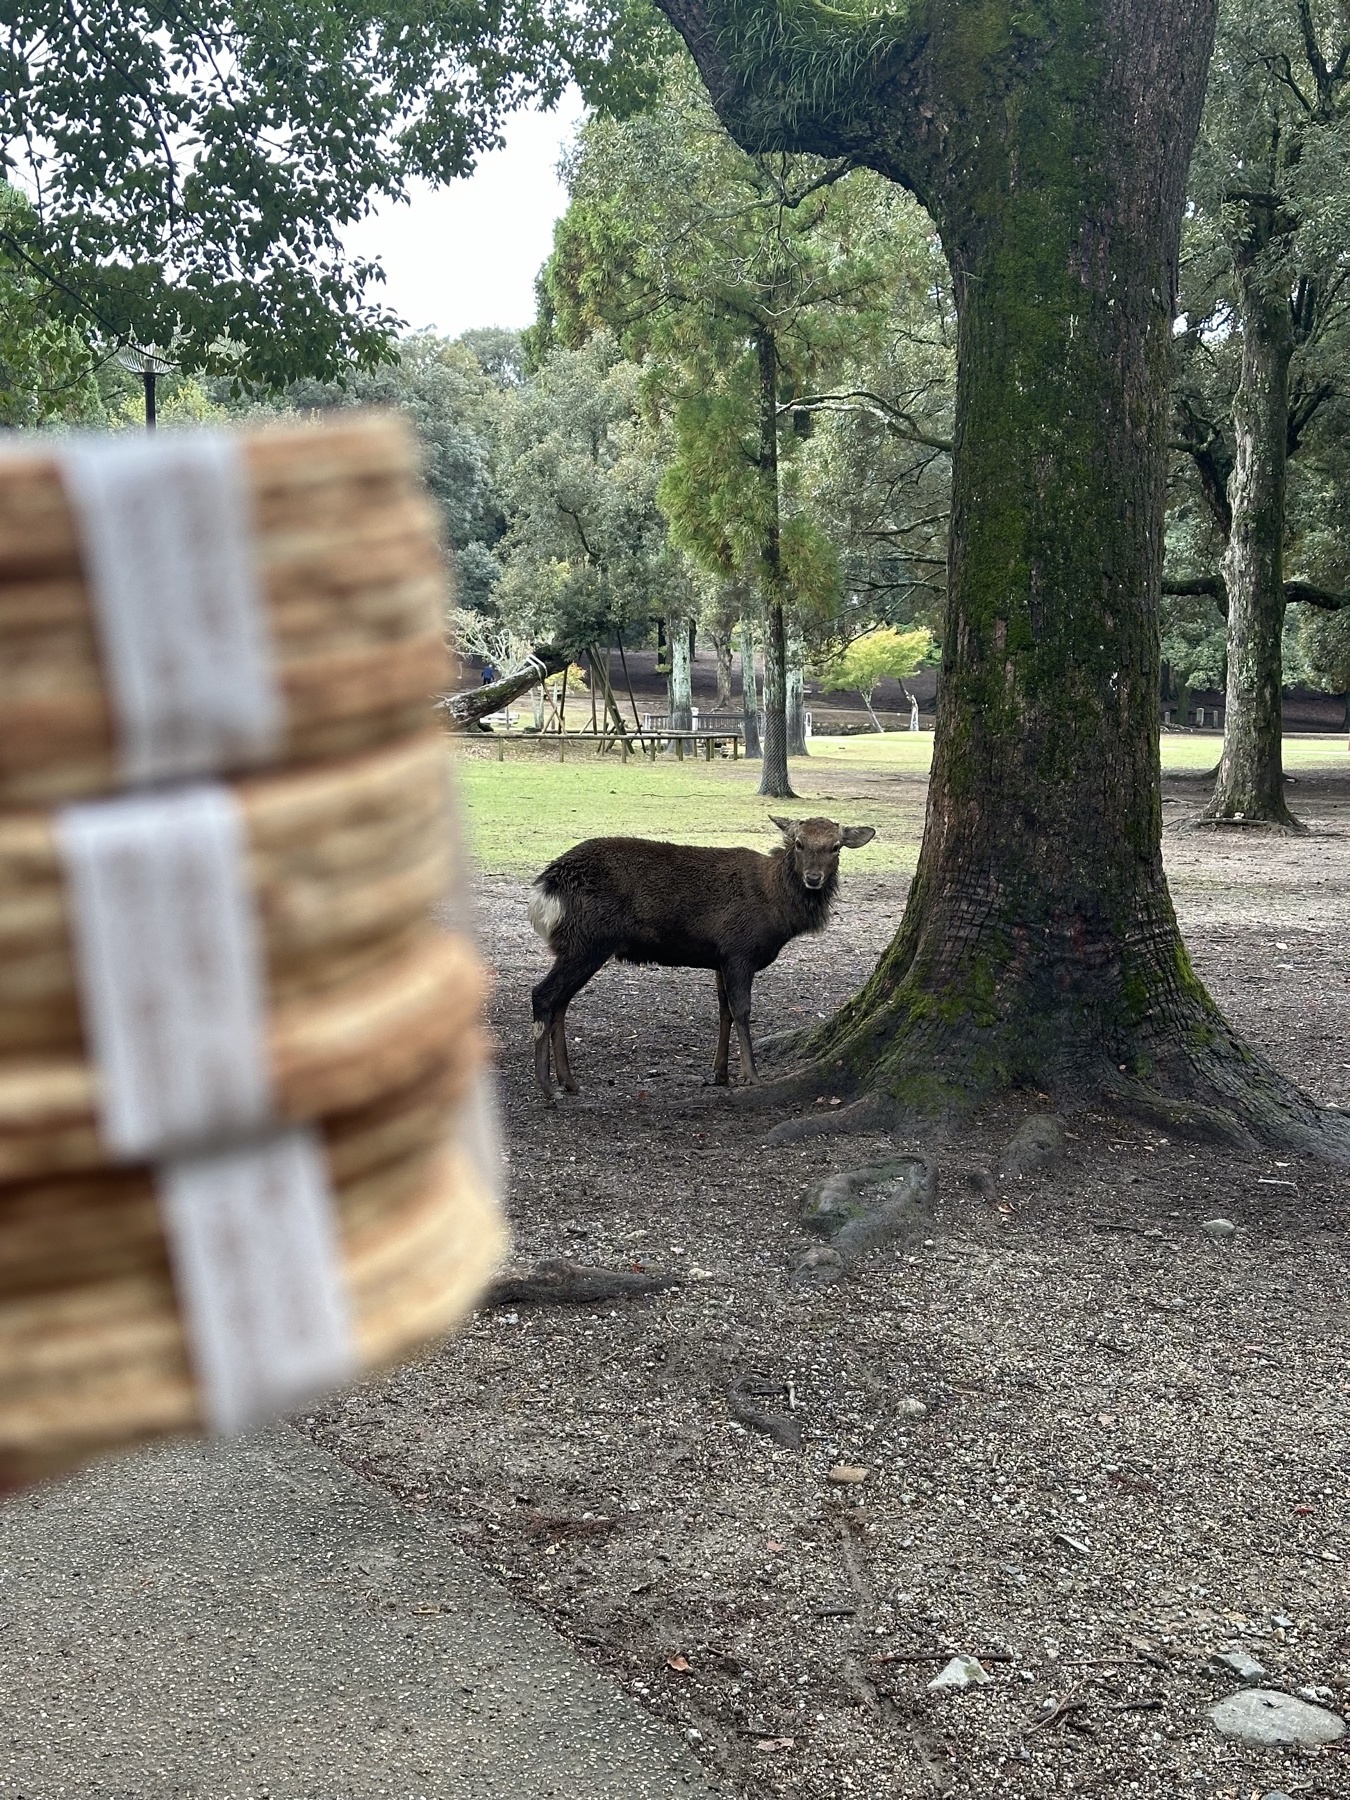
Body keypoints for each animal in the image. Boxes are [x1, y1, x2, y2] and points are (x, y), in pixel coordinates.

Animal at [527, 816, 876, 1100]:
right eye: (799, 843)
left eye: (835, 847)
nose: (814, 878)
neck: (777, 911)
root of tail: (546, 890)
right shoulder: (739, 951)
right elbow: (742, 1011)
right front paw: (751, 1075)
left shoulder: (720, 958)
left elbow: (724, 1012)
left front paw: (720, 1073)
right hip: (586, 942)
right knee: (542, 995)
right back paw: (546, 1086)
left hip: (579, 946)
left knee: (561, 1003)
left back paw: (569, 1081)